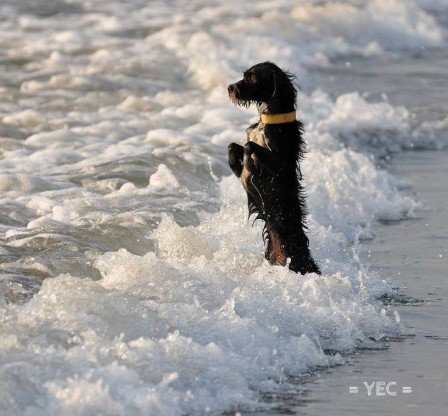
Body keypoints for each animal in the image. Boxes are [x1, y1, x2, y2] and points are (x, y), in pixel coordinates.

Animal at [228, 61, 318, 274]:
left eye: (253, 78)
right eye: (245, 75)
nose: (230, 88)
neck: (269, 122)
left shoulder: (280, 164)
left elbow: (249, 146)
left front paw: (250, 164)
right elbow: (232, 146)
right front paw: (238, 162)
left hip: (294, 261)